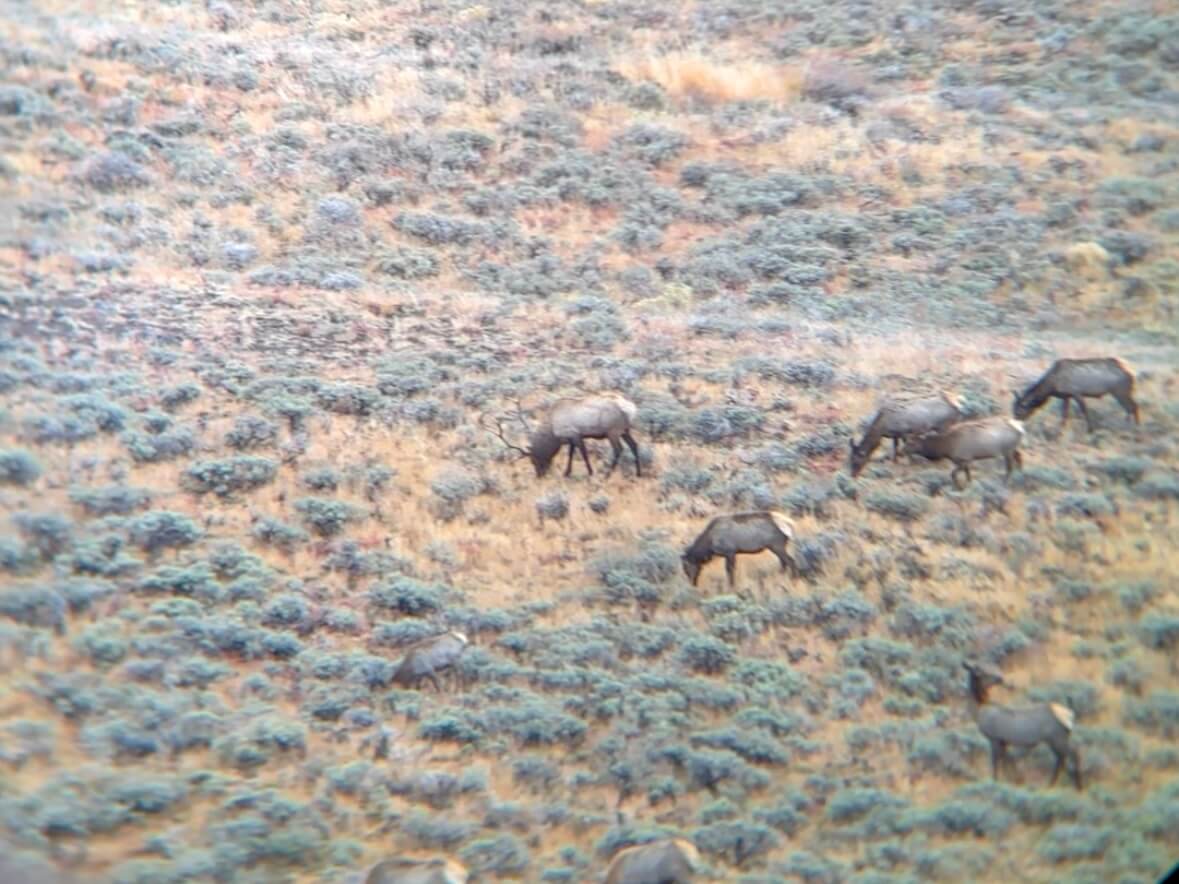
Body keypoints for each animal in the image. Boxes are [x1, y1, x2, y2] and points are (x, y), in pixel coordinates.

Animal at [481, 393, 641, 478]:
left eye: (534, 460)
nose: (540, 475)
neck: (553, 432)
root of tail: (631, 409)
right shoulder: (570, 439)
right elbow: (571, 454)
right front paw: (567, 473)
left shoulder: (575, 434)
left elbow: (583, 454)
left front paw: (590, 472)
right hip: (625, 430)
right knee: (634, 445)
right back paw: (638, 473)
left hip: (613, 431)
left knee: (619, 450)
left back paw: (608, 474)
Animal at [962, 660, 1079, 792]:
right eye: (981, 671)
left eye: (991, 668)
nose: (1000, 678)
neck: (978, 711)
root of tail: (1070, 714)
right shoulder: (1004, 742)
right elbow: (1009, 764)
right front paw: (1017, 781)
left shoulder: (994, 739)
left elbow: (996, 765)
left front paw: (996, 783)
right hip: (1059, 738)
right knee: (1064, 758)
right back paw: (1054, 785)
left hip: (1056, 738)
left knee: (1071, 754)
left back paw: (1071, 786)